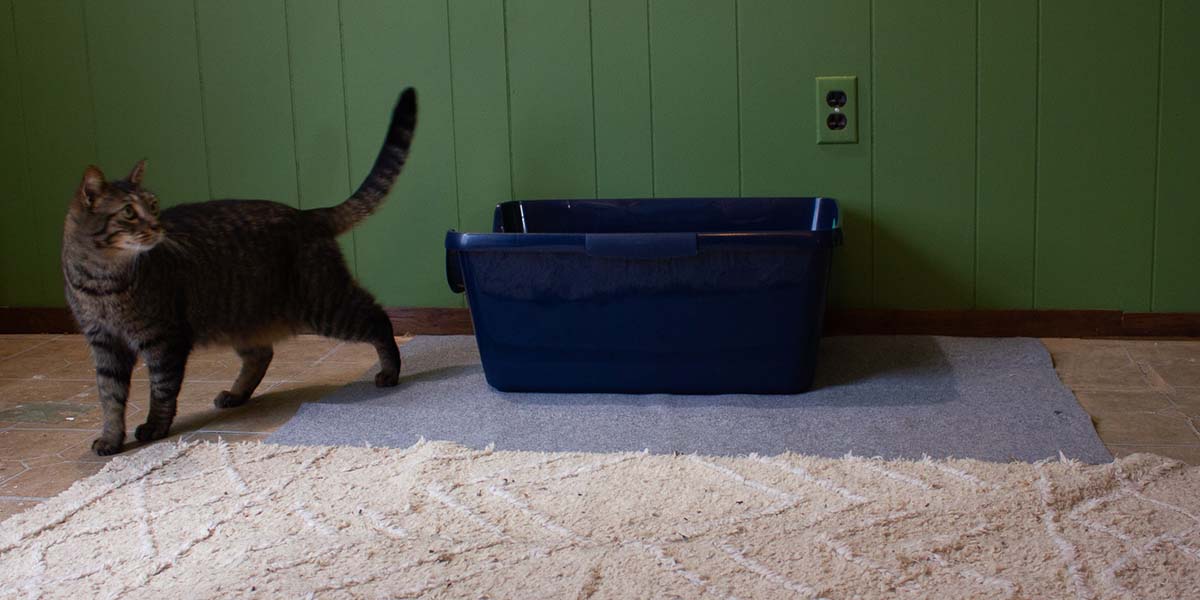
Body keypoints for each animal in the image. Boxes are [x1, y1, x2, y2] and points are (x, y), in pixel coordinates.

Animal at [62, 87, 417, 453]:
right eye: (130, 212)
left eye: (154, 205)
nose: (158, 226)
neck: (102, 282)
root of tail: (306, 214)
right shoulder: (104, 344)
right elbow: (110, 398)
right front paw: (110, 438)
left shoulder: (162, 338)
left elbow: (161, 389)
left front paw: (155, 427)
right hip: (241, 316)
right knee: (261, 354)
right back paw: (236, 394)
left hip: (326, 305)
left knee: (378, 319)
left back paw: (390, 371)